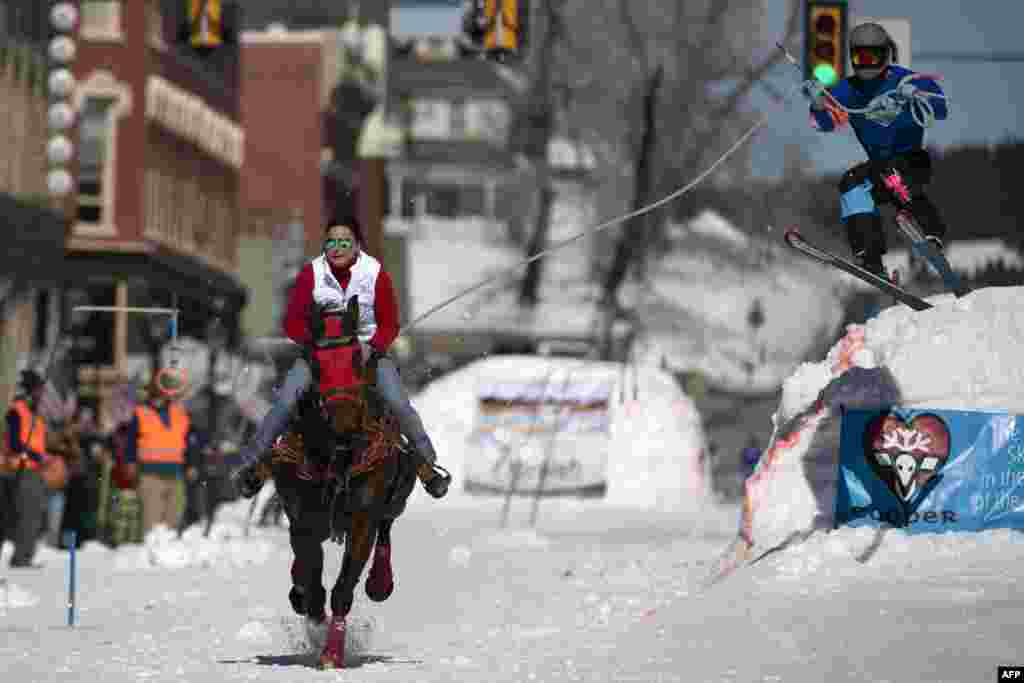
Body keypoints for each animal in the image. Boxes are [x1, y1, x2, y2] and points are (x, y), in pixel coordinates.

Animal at [260, 301, 432, 671]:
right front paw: (308, 607)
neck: (337, 451)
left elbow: (343, 585)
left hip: (397, 496)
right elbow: (309, 572)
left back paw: (380, 582)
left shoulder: (363, 517)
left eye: (356, 356)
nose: (344, 417)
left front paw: (331, 653)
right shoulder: (302, 516)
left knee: (387, 528)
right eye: (316, 362)